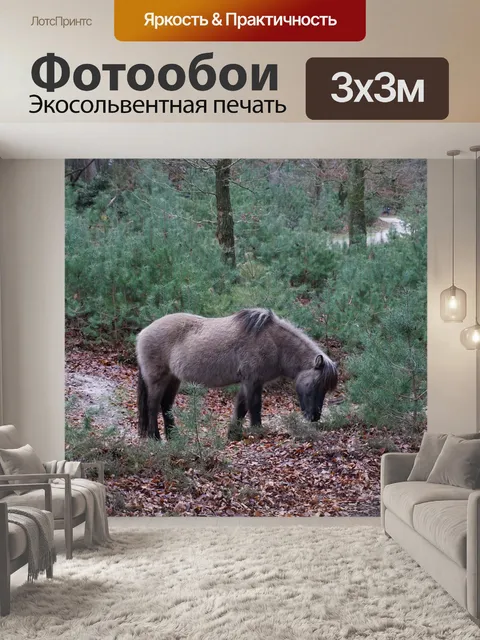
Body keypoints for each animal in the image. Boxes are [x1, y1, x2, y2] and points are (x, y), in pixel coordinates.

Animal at [136, 308, 338, 441]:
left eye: (325, 388)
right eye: (315, 384)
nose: (314, 417)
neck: (274, 342)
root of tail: (143, 333)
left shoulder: (248, 382)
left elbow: (241, 408)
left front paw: (233, 434)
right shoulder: (252, 381)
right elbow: (254, 406)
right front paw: (257, 431)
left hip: (173, 379)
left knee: (166, 406)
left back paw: (174, 437)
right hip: (157, 380)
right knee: (152, 405)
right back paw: (155, 437)